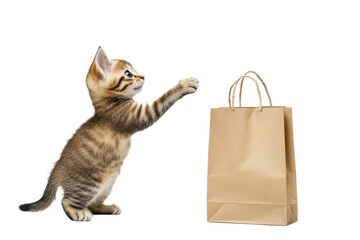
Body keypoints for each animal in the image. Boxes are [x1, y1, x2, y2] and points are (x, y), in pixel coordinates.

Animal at [19, 47, 200, 221]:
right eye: (128, 74)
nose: (143, 76)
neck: (107, 105)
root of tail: (57, 167)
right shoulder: (140, 115)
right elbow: (163, 100)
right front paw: (185, 84)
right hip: (89, 184)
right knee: (67, 200)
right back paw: (78, 212)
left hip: (107, 186)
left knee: (92, 204)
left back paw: (107, 208)